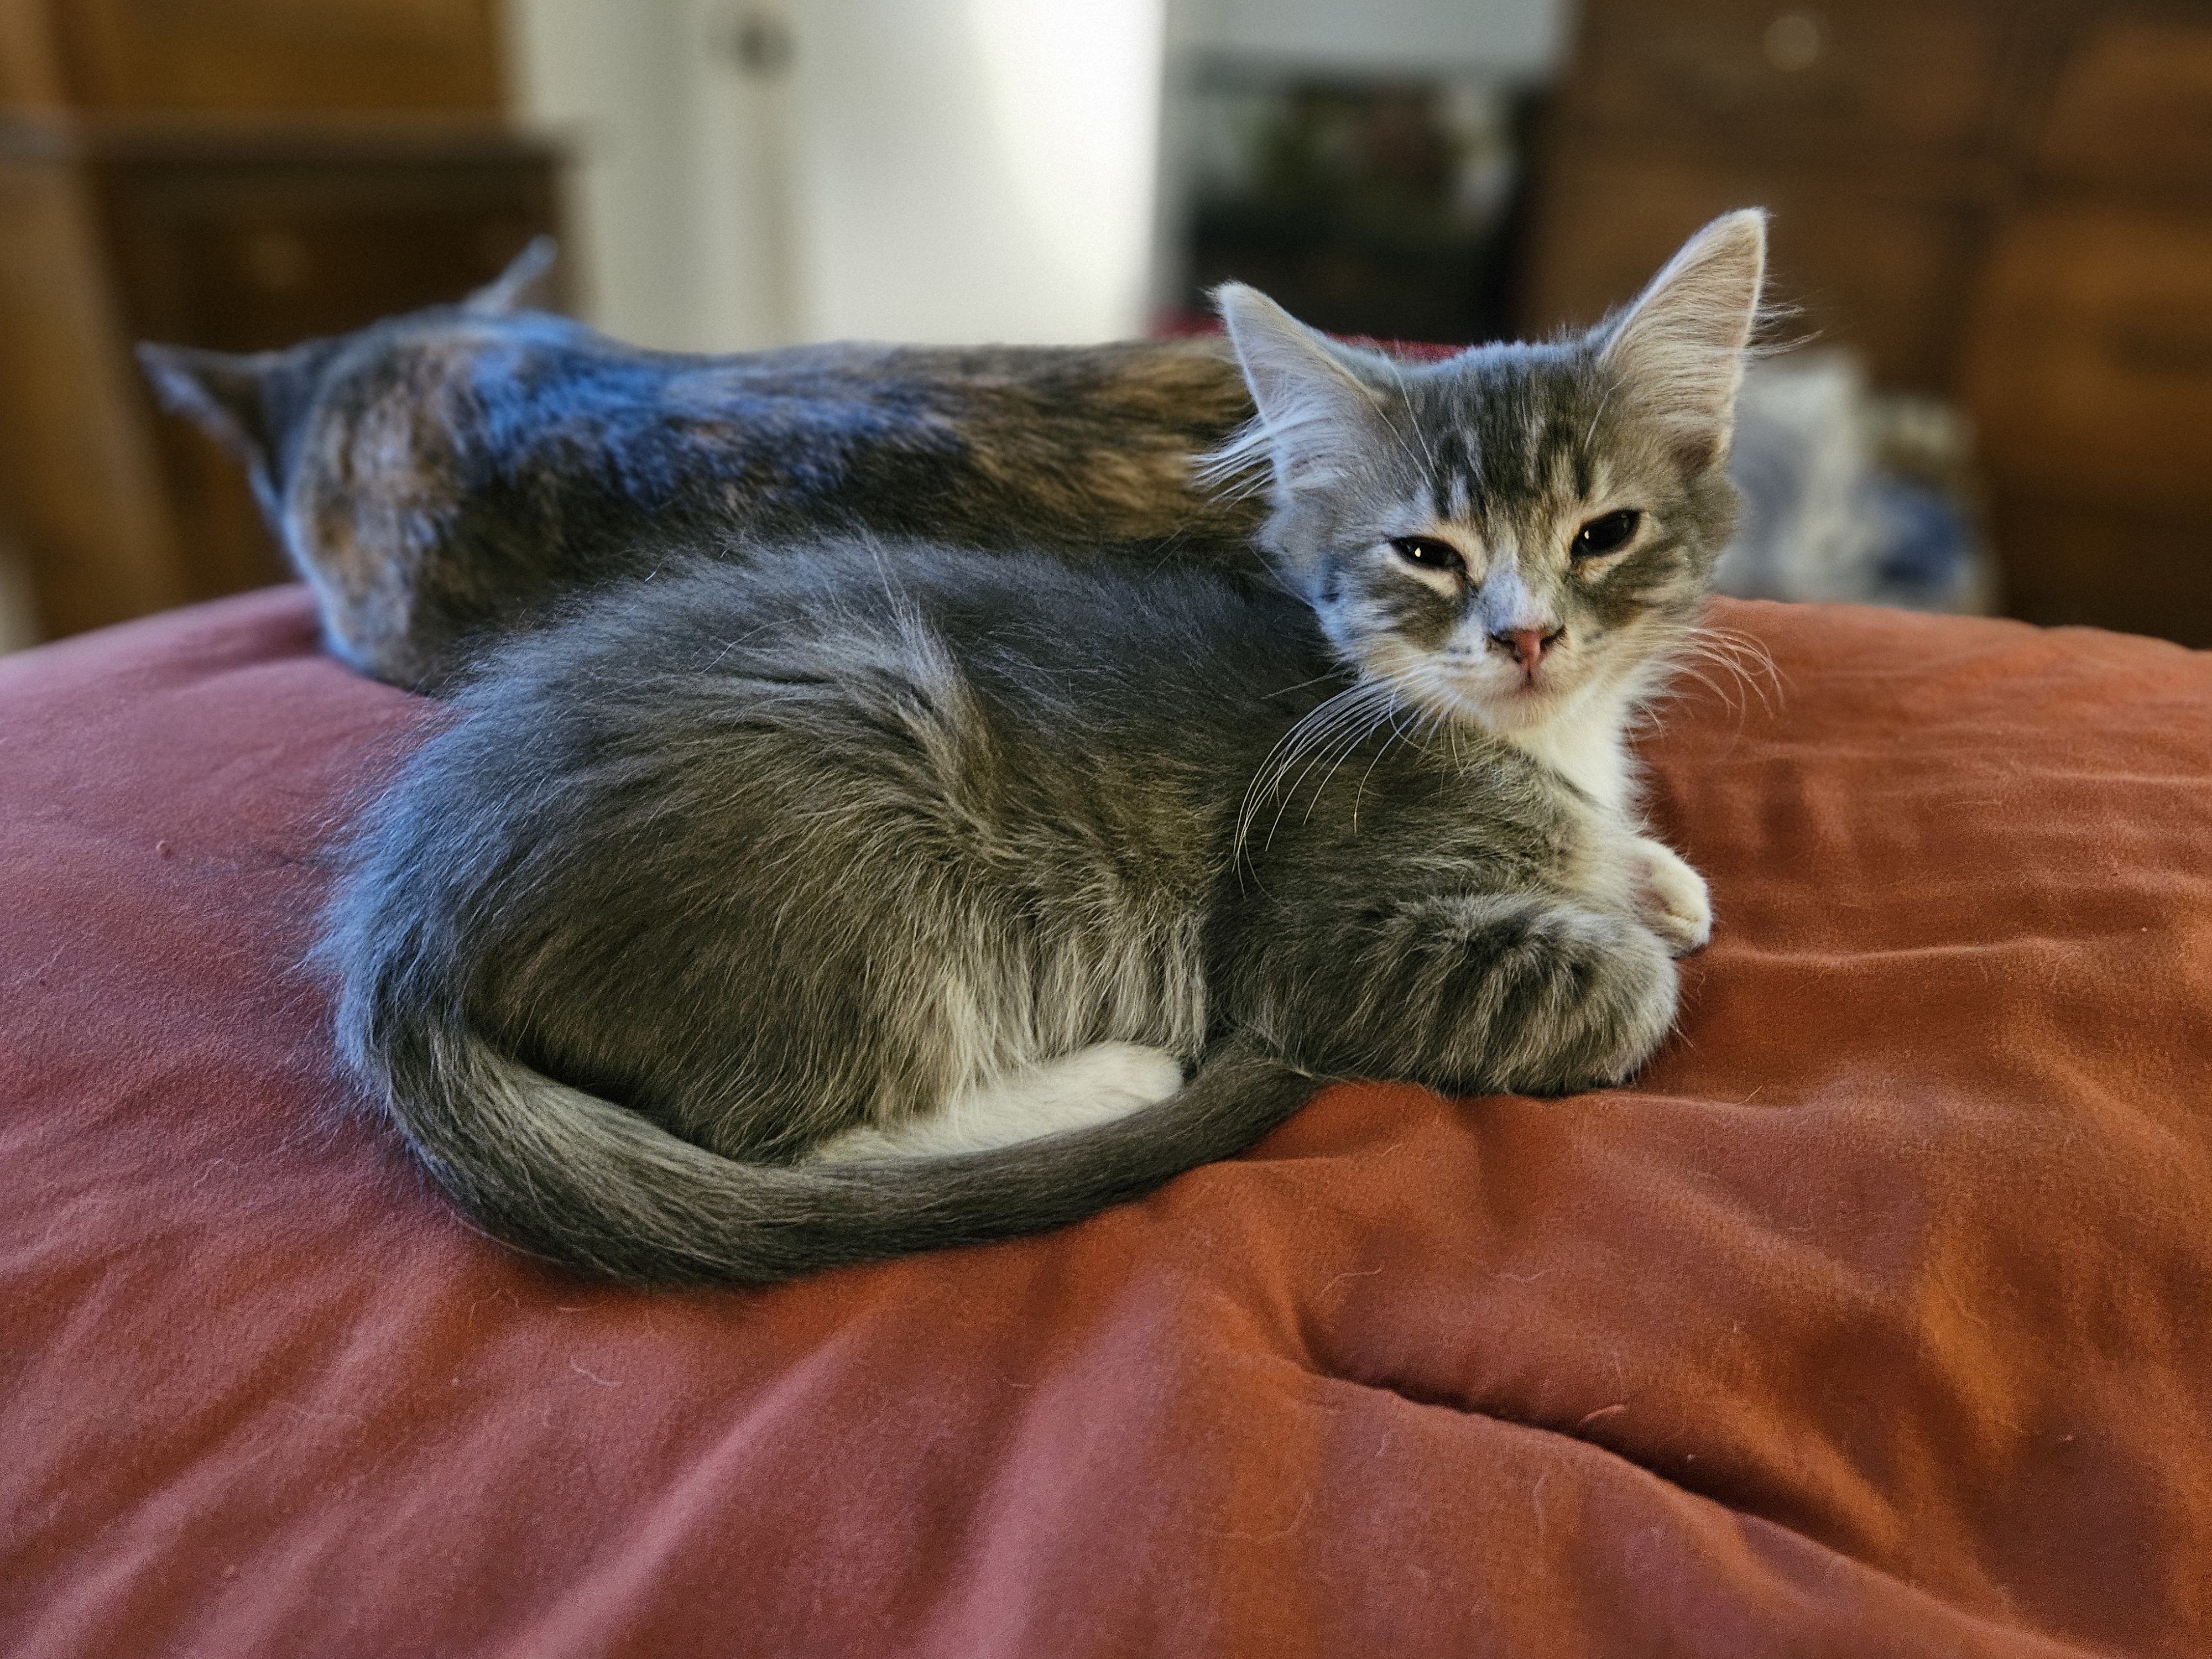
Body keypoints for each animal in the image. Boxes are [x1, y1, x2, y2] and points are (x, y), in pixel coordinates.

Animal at [327, 211, 1770, 1283]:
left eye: (1603, 534)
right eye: (1425, 552)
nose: (1524, 637)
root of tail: (404, 922)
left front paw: (1652, 869)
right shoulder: (1307, 939)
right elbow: (1631, 989)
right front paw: (1630, 919)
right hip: (855, 796)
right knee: (782, 1153)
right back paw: (1111, 1078)